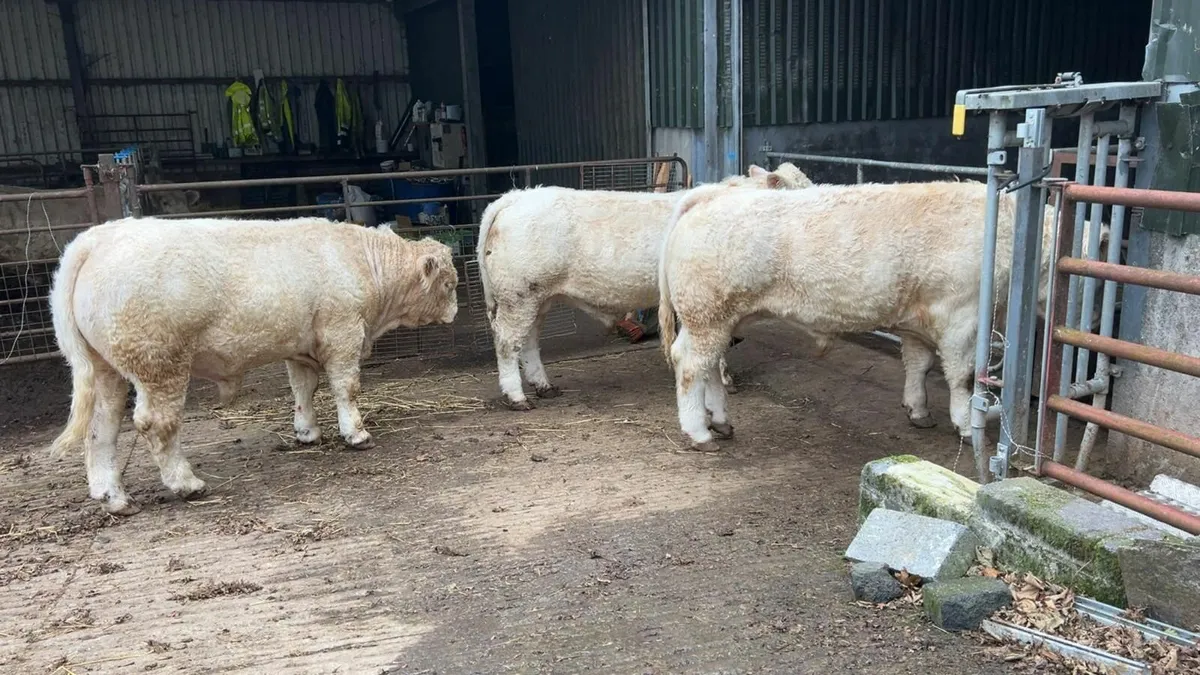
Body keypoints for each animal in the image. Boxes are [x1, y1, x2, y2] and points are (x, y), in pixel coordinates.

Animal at [47, 217, 459, 516]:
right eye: (449, 284)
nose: (455, 313)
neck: (363, 264)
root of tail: (97, 239)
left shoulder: (300, 346)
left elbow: (303, 389)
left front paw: (307, 432)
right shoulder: (342, 333)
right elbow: (346, 387)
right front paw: (356, 434)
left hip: (107, 370)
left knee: (101, 429)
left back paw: (112, 496)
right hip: (160, 365)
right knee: (156, 425)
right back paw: (186, 484)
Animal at [476, 163, 814, 411]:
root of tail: (516, 196)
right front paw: (724, 379)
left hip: (537, 298)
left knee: (528, 342)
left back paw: (544, 386)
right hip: (519, 296)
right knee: (507, 343)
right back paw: (517, 397)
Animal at [657, 180, 1109, 451]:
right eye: (1091, 270)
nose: (1096, 324)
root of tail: (711, 193)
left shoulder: (919, 319)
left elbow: (919, 364)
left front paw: (918, 410)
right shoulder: (961, 315)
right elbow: (961, 376)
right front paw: (966, 424)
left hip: (716, 318)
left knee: (706, 366)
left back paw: (720, 421)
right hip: (708, 313)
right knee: (691, 367)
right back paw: (699, 432)